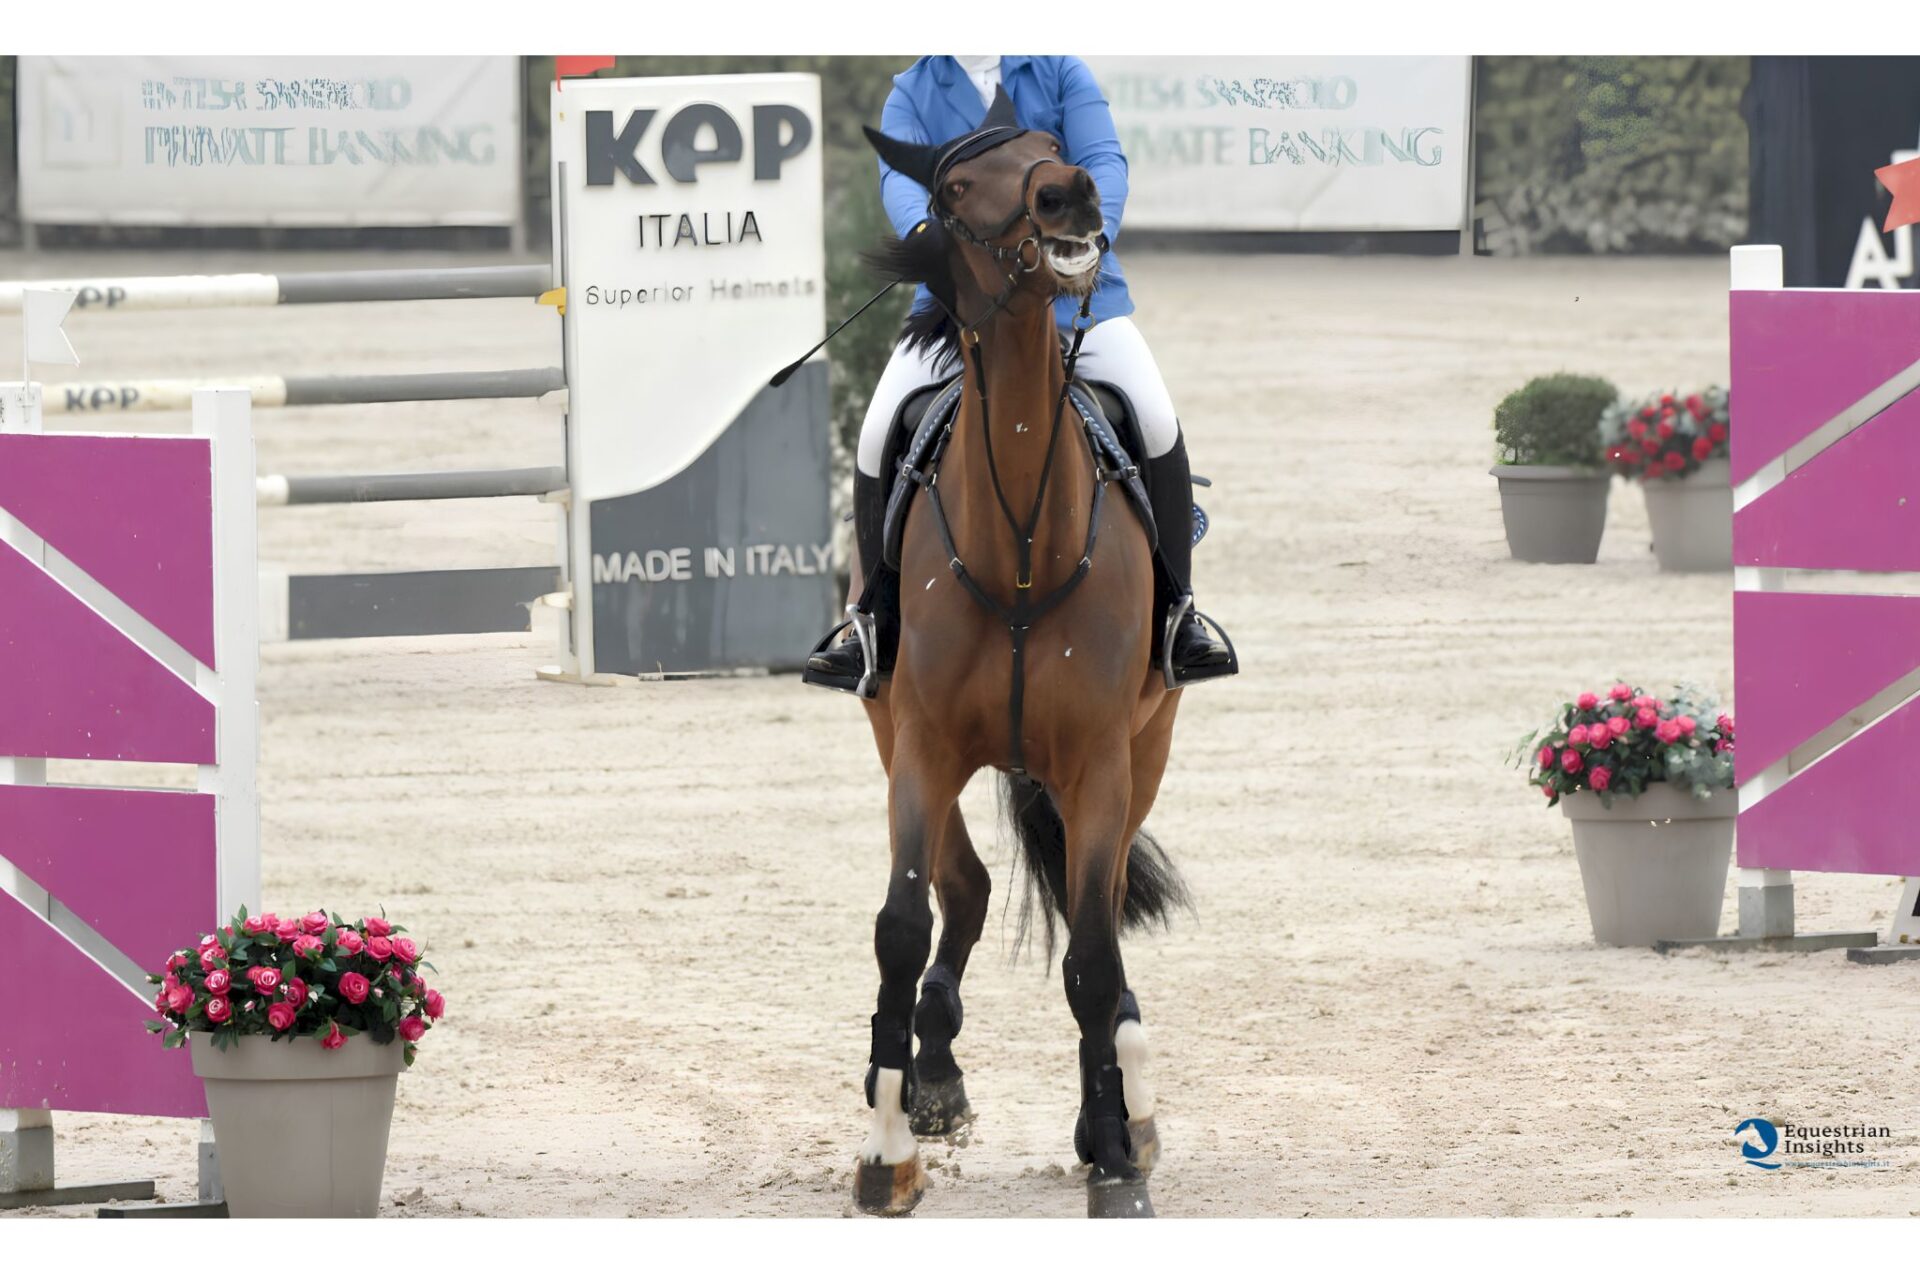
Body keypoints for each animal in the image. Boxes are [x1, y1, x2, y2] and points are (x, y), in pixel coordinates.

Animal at [839, 89, 1192, 1219]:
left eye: (1055, 145)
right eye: (954, 184)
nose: (1069, 197)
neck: (1023, 543)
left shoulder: (1098, 762)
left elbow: (1091, 955)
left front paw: (1115, 1155)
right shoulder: (917, 746)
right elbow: (902, 925)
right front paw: (888, 1147)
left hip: (1145, 754)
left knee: (1096, 919)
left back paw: (1122, 1104)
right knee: (967, 890)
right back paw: (932, 1074)